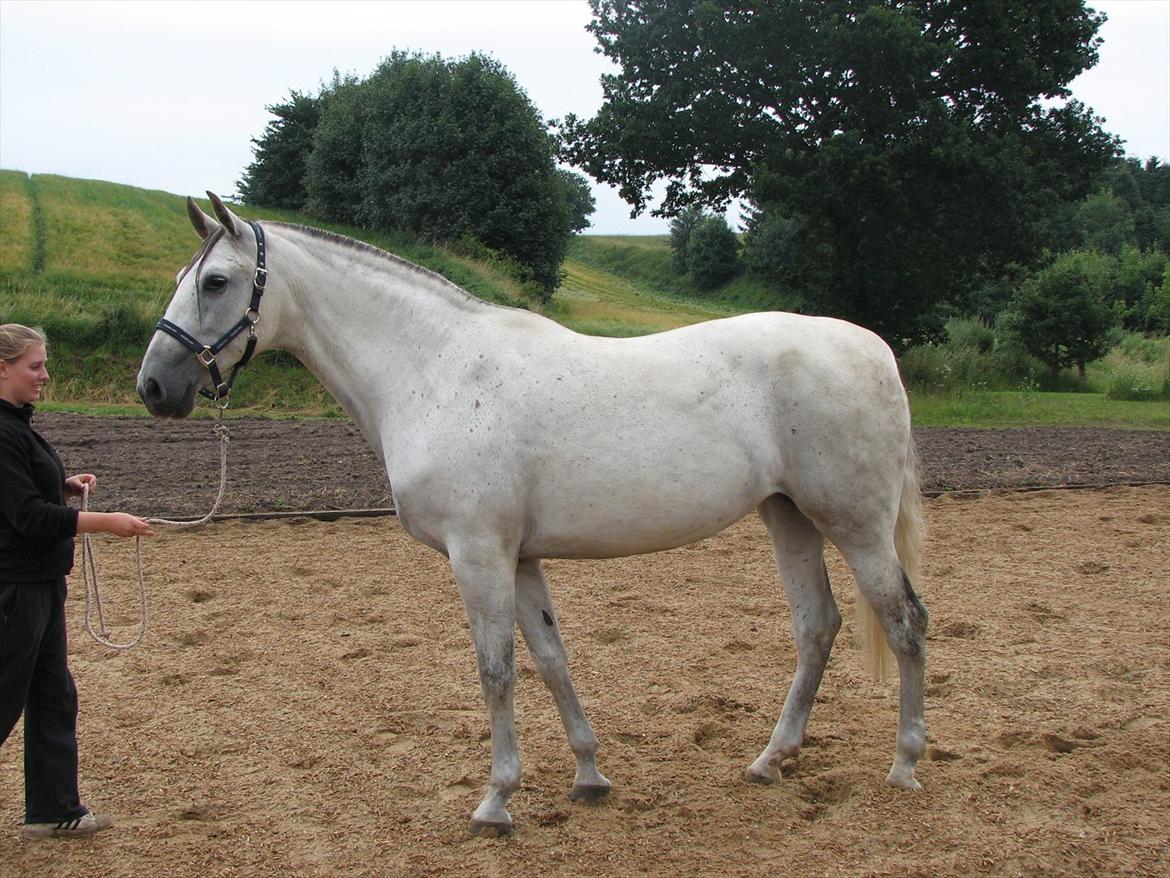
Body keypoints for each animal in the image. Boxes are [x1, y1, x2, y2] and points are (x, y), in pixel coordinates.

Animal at [136, 194, 926, 838]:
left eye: (215, 282)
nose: (153, 388)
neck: (434, 370)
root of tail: (874, 349)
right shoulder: (519, 556)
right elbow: (550, 658)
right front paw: (589, 776)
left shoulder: (478, 551)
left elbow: (496, 669)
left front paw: (496, 801)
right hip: (788, 517)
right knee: (817, 626)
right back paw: (770, 760)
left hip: (854, 524)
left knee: (904, 623)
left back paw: (905, 765)